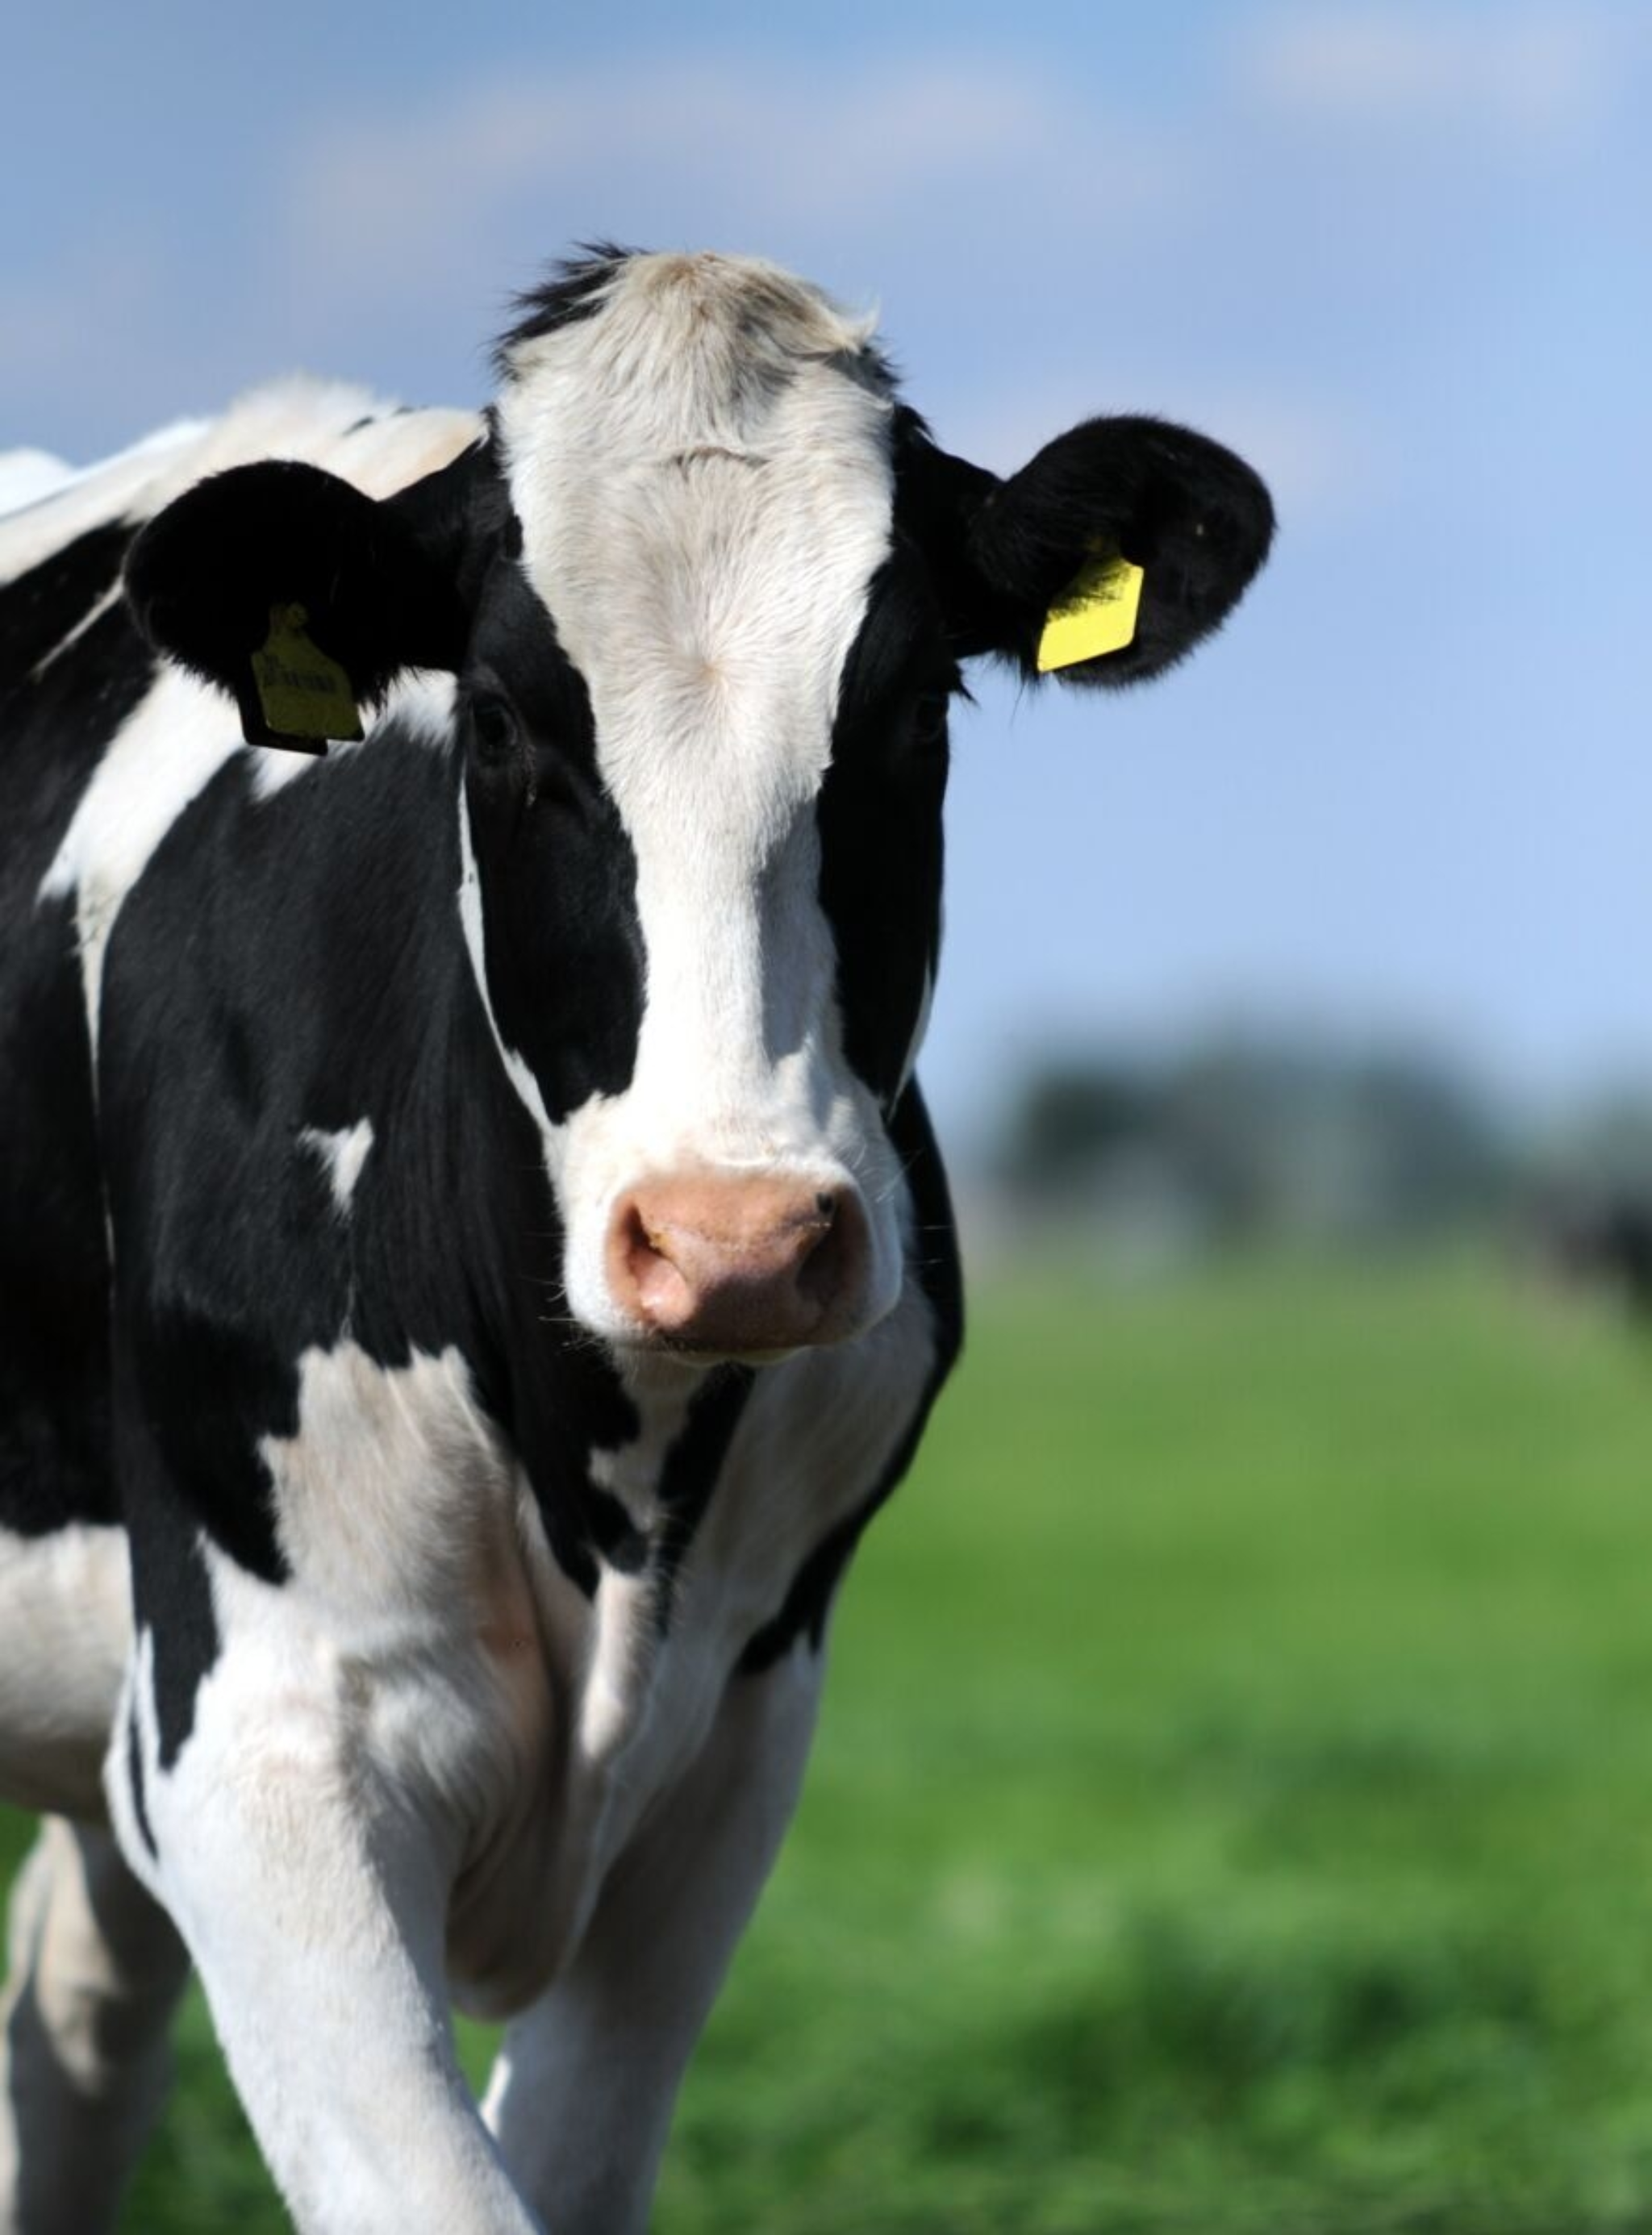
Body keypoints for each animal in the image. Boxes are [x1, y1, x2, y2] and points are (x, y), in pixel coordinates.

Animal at [0, 248, 1272, 2233]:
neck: (607, 1486)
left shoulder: (736, 1739)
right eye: (502, 724)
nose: (735, 1238)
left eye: (916, 714)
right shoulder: (262, 1728)